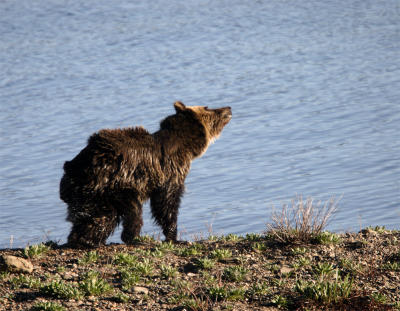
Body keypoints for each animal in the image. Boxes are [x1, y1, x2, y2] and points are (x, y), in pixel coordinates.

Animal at [57, 102, 230, 249]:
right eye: (208, 107)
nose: (228, 108)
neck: (184, 147)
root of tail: (71, 168)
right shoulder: (170, 171)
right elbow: (167, 202)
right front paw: (174, 236)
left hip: (87, 194)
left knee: (96, 218)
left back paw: (86, 240)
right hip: (110, 186)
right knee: (125, 213)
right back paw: (127, 239)